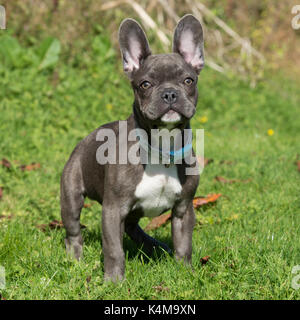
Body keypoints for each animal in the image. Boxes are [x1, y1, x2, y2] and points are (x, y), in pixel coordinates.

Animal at [60, 13, 204, 282]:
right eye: (145, 84)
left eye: (188, 80)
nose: (170, 93)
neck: (161, 146)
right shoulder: (113, 209)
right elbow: (113, 249)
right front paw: (114, 281)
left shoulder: (183, 208)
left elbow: (184, 243)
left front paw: (184, 271)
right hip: (72, 194)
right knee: (73, 230)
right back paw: (75, 259)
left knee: (132, 226)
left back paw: (154, 245)